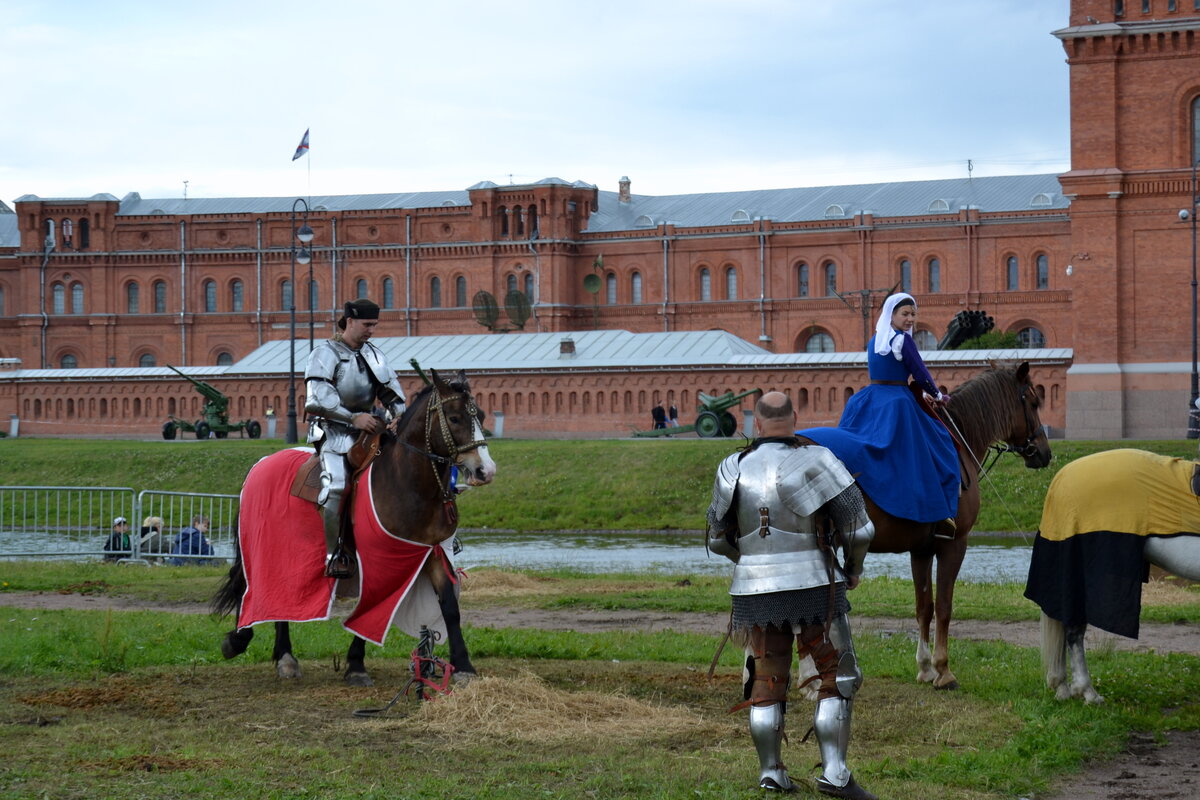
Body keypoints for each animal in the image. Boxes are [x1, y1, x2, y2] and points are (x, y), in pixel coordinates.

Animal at [212, 369, 496, 690]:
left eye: (481, 415)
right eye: (454, 418)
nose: (486, 470)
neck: (408, 482)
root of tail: (261, 464)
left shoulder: (432, 551)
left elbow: (449, 606)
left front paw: (463, 666)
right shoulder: (379, 558)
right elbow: (372, 606)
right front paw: (356, 664)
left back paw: (283, 656)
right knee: (254, 588)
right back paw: (251, 643)